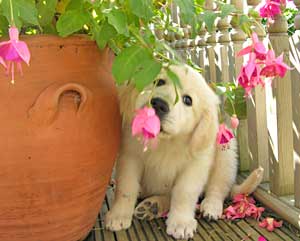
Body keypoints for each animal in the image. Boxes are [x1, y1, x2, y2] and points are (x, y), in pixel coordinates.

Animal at [105, 64, 262, 239]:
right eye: (159, 81)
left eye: (188, 100)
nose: (159, 104)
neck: (166, 141)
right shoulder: (130, 156)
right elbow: (126, 186)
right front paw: (119, 214)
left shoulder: (195, 165)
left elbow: (183, 193)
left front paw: (181, 222)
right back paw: (152, 206)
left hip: (226, 153)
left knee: (219, 187)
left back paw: (210, 206)